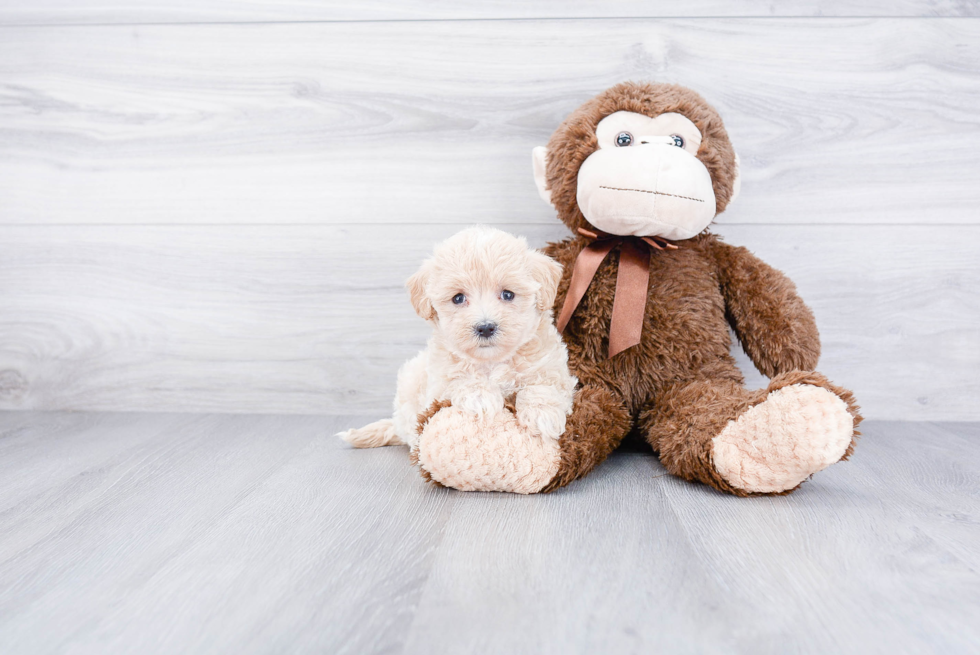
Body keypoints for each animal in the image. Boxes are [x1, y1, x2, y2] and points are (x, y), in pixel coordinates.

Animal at [340, 226, 580, 452]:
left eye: (508, 294)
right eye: (458, 298)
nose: (485, 327)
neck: (492, 362)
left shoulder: (552, 369)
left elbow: (544, 386)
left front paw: (543, 415)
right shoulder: (438, 385)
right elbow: (459, 379)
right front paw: (481, 396)